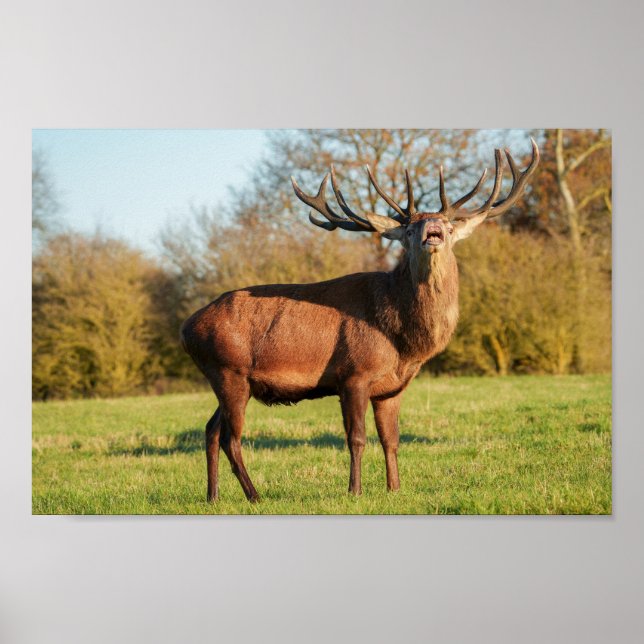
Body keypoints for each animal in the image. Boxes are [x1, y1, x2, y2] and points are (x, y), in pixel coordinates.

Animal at [180, 140, 539, 502]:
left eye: (450, 227)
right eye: (410, 229)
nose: (433, 231)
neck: (402, 343)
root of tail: (187, 327)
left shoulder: (391, 388)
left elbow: (391, 439)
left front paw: (394, 488)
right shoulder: (353, 373)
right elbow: (356, 438)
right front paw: (355, 490)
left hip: (225, 379)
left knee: (210, 430)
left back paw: (213, 496)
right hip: (230, 371)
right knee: (231, 438)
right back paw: (254, 495)